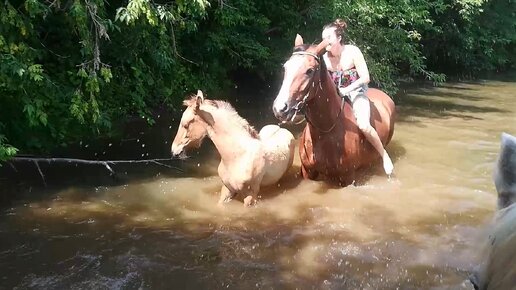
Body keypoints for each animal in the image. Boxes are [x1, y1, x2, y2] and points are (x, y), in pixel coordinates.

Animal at [272, 35, 394, 186]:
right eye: (285, 68)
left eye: (309, 71)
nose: (280, 108)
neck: (325, 130)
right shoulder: (307, 171)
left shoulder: (347, 177)